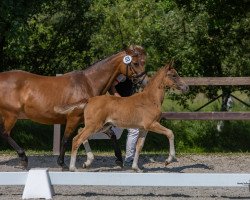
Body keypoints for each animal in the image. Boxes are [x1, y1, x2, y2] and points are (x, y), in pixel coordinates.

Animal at [0, 45, 147, 169]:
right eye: (135, 63)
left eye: (143, 61)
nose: (144, 81)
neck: (88, 83)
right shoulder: (74, 117)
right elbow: (66, 139)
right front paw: (62, 163)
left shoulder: (92, 121)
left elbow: (109, 135)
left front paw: (117, 160)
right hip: (10, 115)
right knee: (5, 134)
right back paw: (23, 159)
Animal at [54, 61, 188, 171]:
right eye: (173, 75)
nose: (186, 87)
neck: (151, 99)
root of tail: (90, 100)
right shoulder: (152, 124)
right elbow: (170, 133)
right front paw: (168, 160)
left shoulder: (144, 128)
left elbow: (139, 145)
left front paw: (136, 168)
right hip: (94, 126)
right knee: (77, 139)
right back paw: (73, 167)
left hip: (101, 126)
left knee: (80, 134)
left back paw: (87, 162)